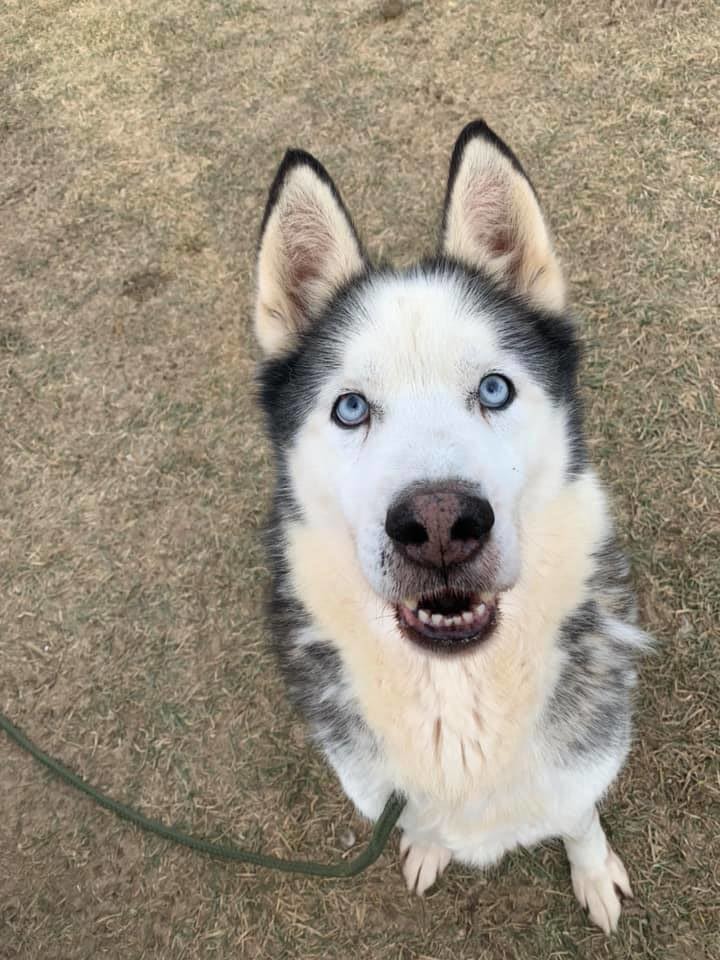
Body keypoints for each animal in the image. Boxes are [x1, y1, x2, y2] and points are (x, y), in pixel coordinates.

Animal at [253, 118, 652, 928]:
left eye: (494, 390)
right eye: (350, 407)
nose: (439, 523)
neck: (459, 699)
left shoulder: (583, 769)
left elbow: (578, 818)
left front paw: (593, 871)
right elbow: (424, 823)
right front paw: (430, 844)